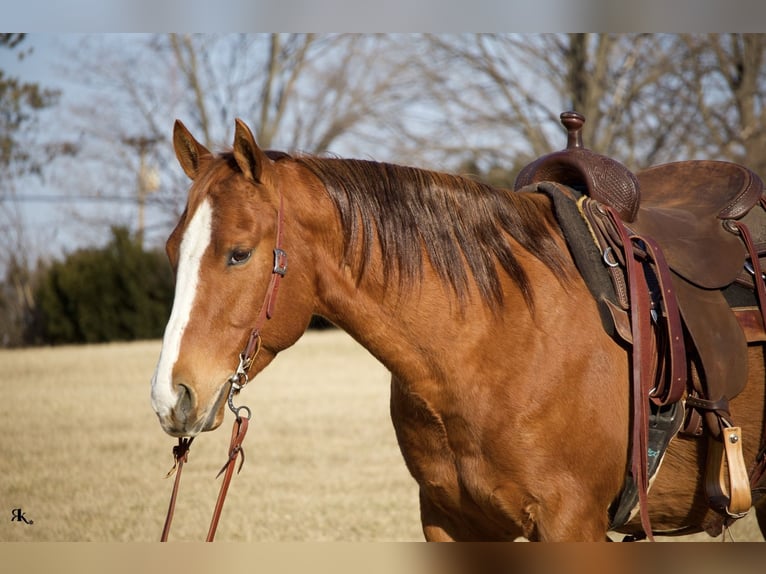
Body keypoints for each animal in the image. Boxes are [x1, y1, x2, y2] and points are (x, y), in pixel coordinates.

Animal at [152, 119, 766, 544]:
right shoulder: (452, 520)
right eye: (171, 251)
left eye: (239, 253)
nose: (170, 396)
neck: (493, 344)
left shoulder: (572, 523)